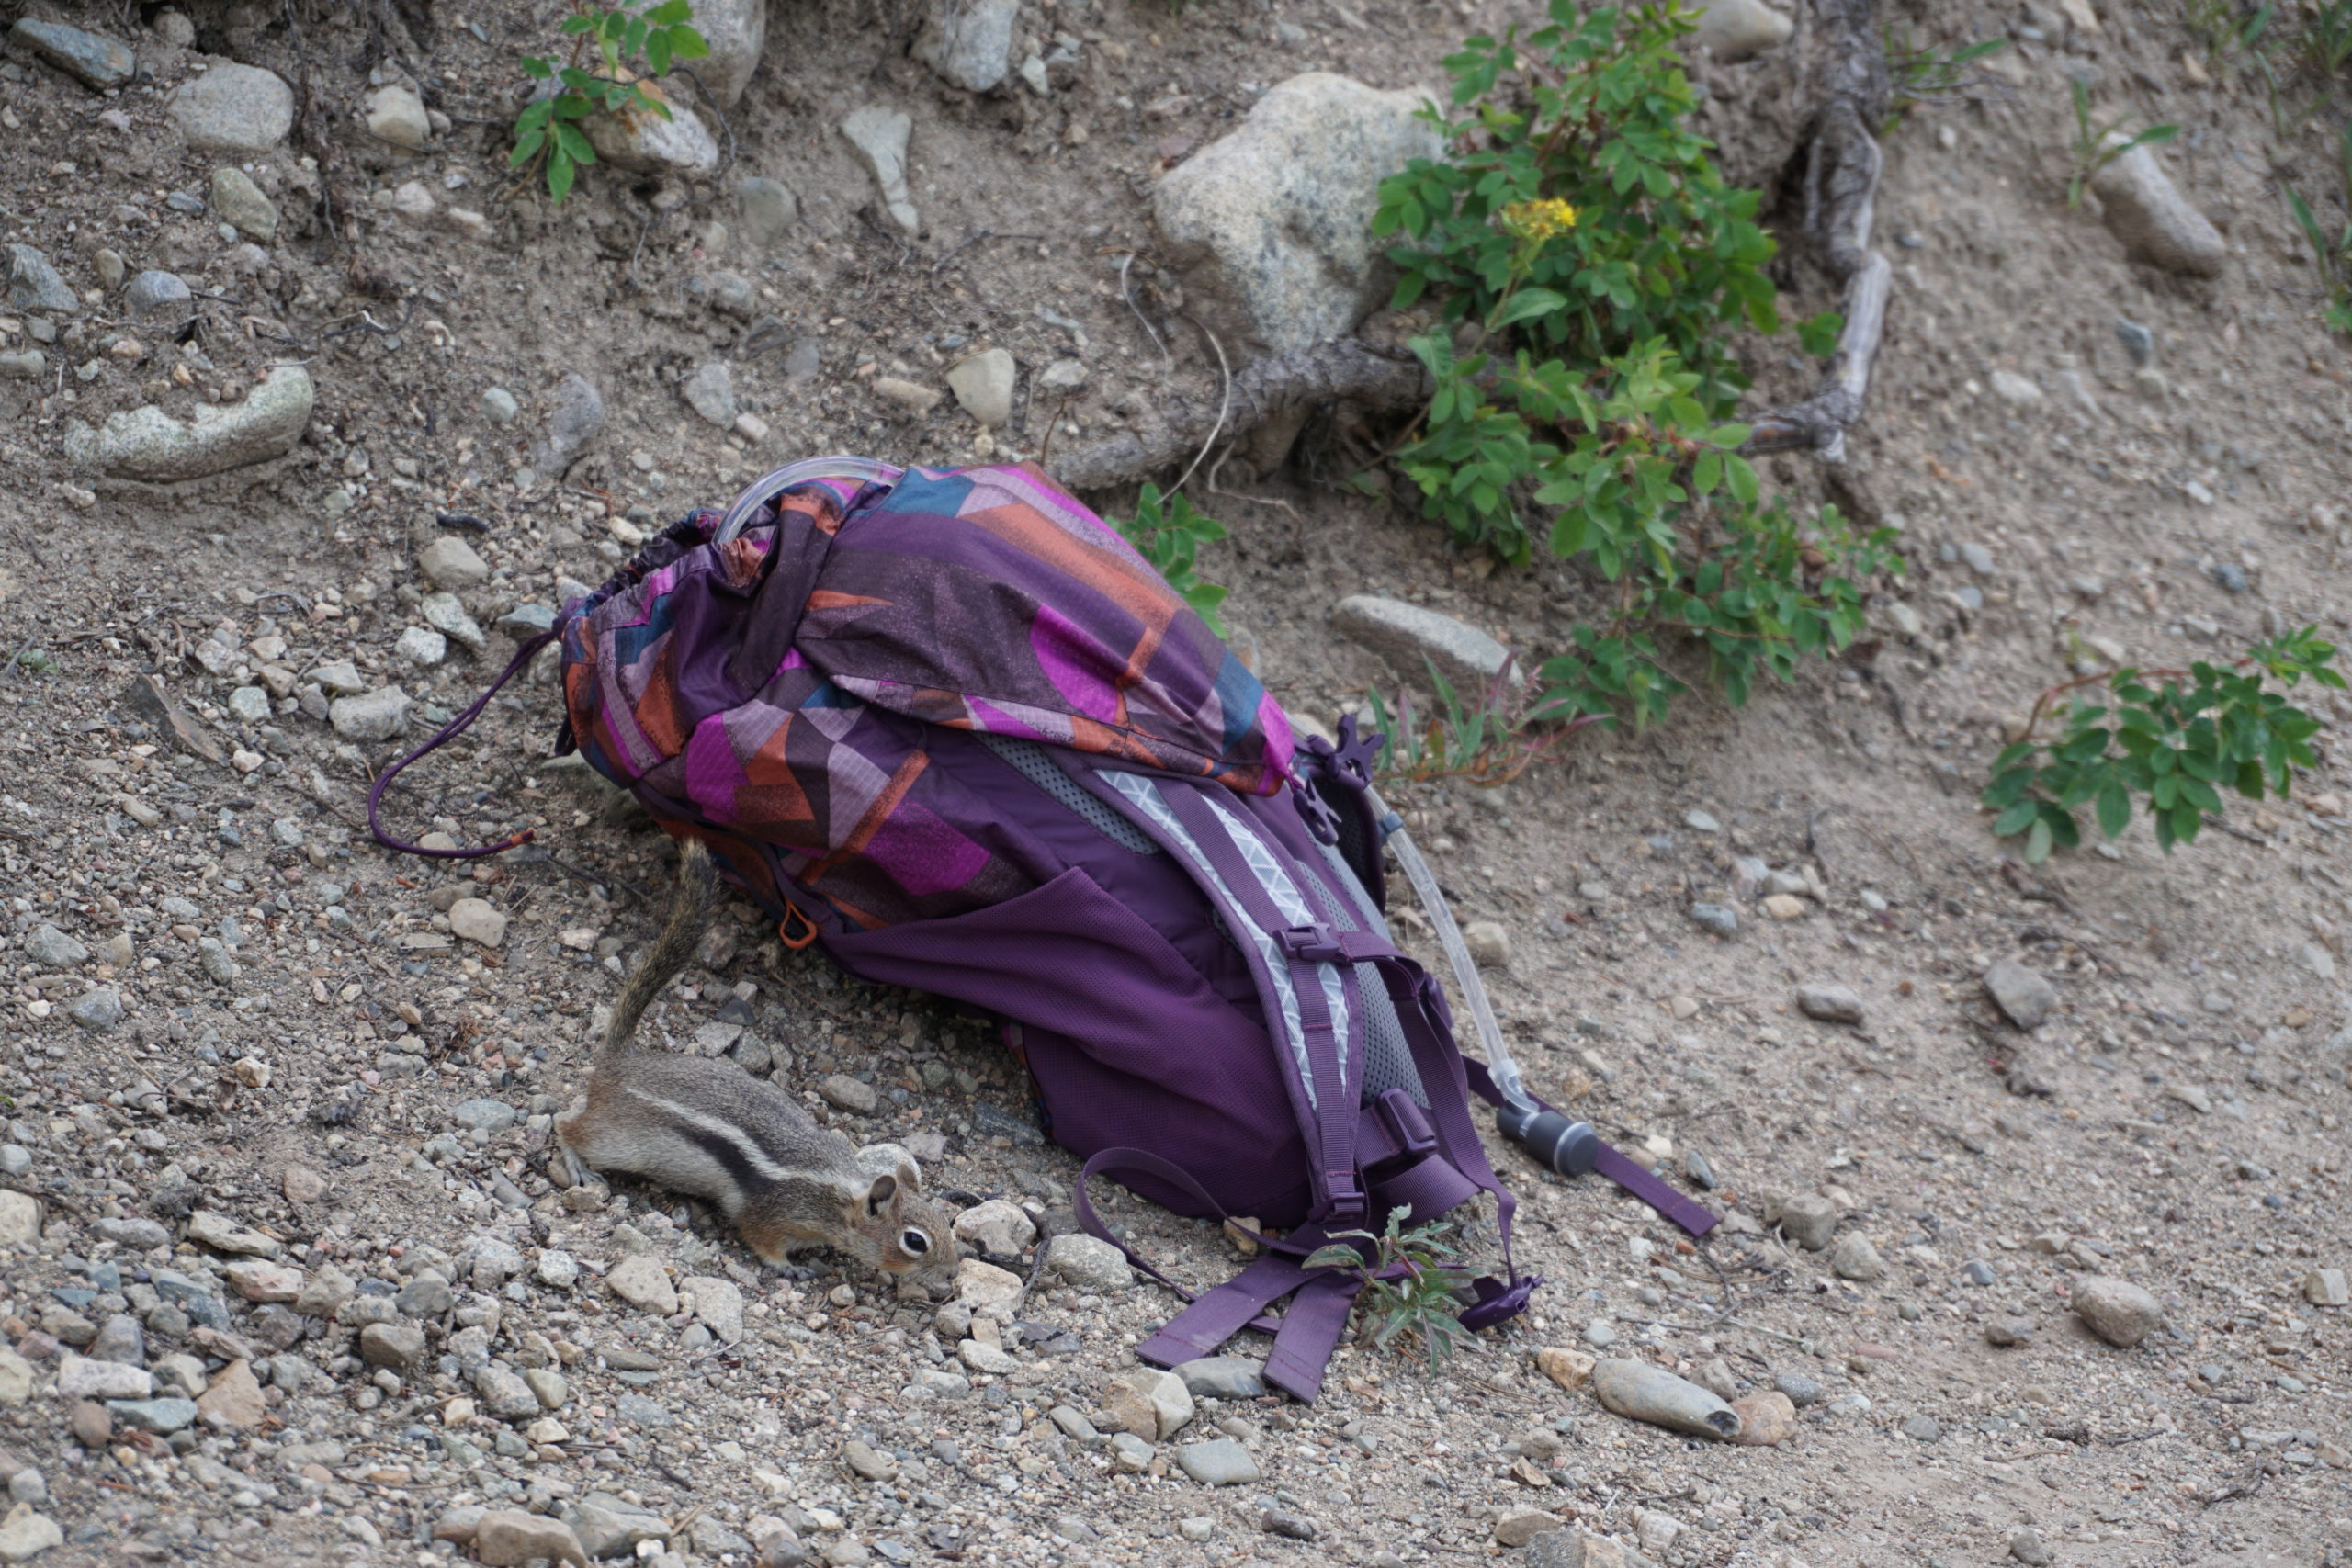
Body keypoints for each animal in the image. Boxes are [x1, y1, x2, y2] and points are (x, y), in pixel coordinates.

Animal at [555, 839, 956, 1283]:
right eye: (915, 1241)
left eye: (945, 1224)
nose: (954, 1274)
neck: (837, 1194)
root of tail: (620, 1061)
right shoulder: (771, 1213)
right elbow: (760, 1239)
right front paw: (790, 1268)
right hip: (619, 1143)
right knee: (565, 1124)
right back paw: (578, 1164)